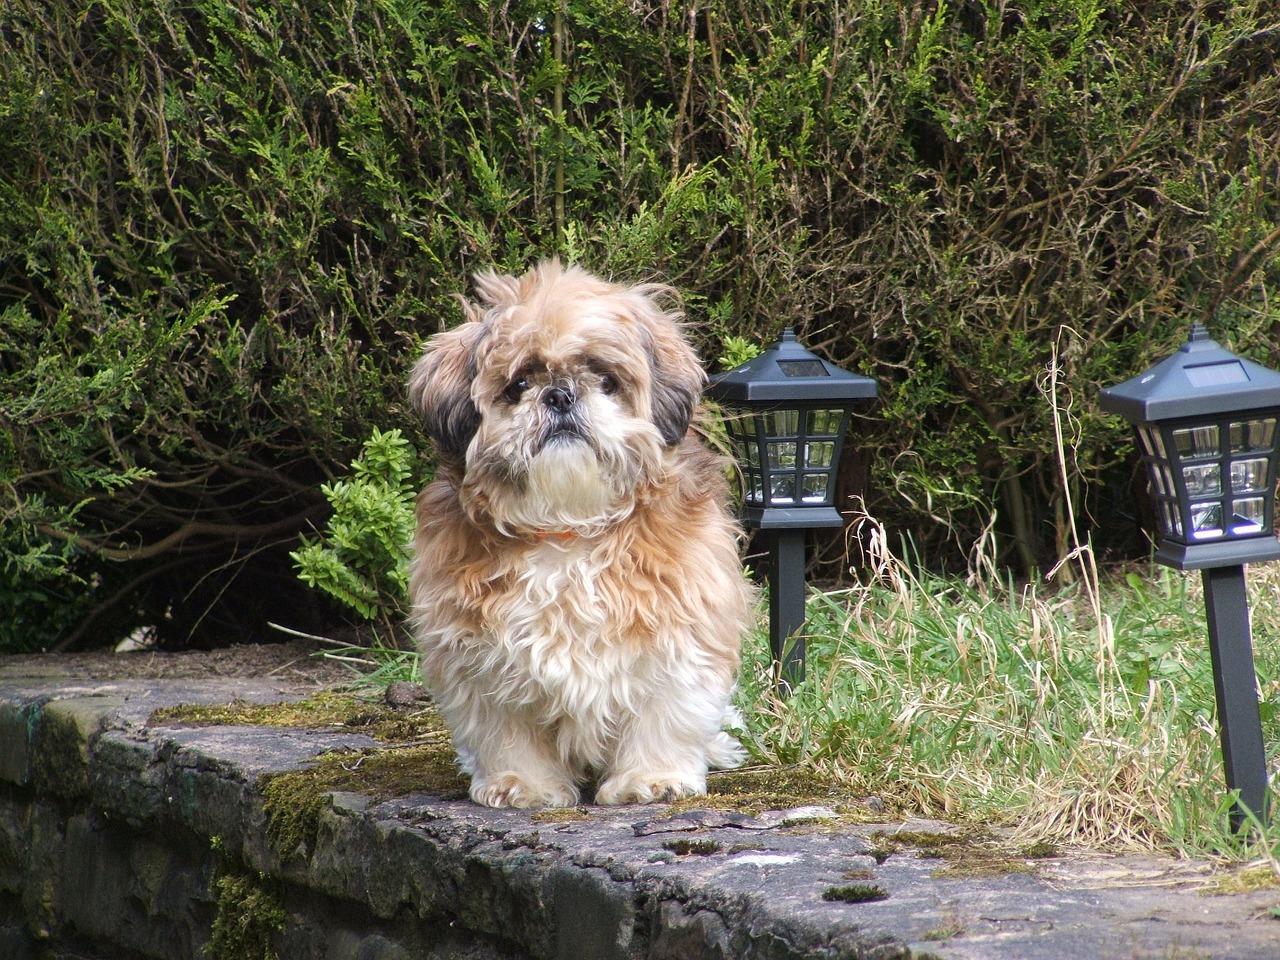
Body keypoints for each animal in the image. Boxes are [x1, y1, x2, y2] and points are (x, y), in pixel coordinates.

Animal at [404, 259, 752, 808]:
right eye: (519, 384)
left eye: (605, 380)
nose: (560, 395)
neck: (566, 528)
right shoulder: (480, 662)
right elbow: (507, 733)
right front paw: (523, 784)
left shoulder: (680, 637)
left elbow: (664, 714)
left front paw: (652, 778)